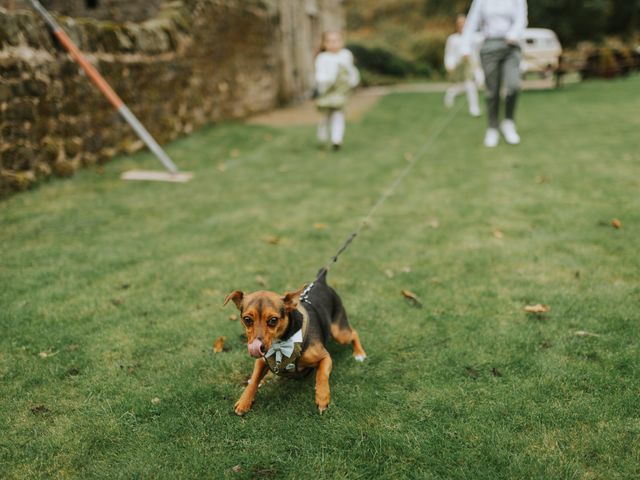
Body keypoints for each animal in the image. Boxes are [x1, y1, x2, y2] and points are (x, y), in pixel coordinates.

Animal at [224, 268, 364, 414]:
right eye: (247, 319)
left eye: (273, 320)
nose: (259, 347)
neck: (281, 344)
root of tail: (320, 281)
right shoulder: (261, 361)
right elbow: (254, 380)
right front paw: (244, 401)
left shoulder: (325, 357)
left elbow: (322, 374)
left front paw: (322, 397)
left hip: (339, 333)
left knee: (354, 333)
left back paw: (359, 353)